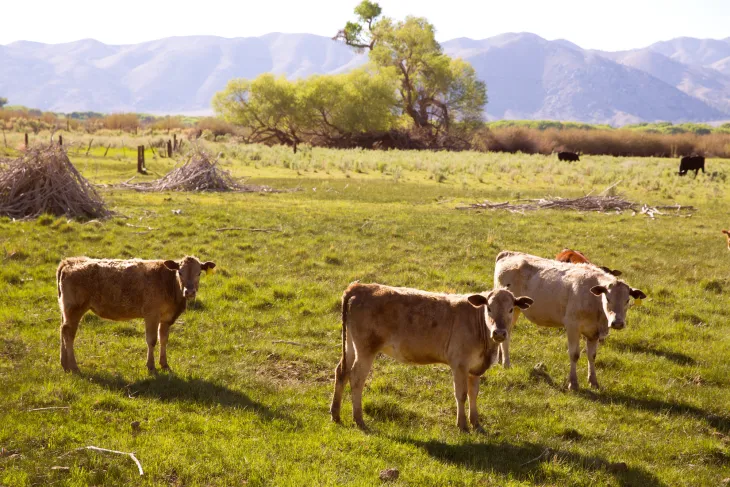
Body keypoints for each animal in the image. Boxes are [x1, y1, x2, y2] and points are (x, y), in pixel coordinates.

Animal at [56, 256, 216, 373]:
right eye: (180, 272)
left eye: (198, 273)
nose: (189, 292)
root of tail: (69, 261)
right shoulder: (151, 315)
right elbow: (152, 340)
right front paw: (151, 366)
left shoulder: (166, 318)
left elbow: (164, 339)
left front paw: (164, 364)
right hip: (75, 308)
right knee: (69, 333)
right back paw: (74, 367)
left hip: (66, 309)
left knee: (62, 330)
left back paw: (64, 364)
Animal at [329, 282, 533, 431]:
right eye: (488, 308)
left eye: (511, 309)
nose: (499, 333)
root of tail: (359, 286)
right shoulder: (459, 364)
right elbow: (461, 394)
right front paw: (462, 425)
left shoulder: (475, 368)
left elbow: (474, 394)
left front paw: (476, 424)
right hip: (366, 349)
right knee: (356, 378)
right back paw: (359, 420)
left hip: (350, 345)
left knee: (341, 372)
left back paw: (336, 414)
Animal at [494, 251, 645, 390]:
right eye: (608, 299)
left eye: (627, 300)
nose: (617, 323)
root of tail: (509, 253)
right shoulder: (572, 326)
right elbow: (574, 354)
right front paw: (573, 383)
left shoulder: (594, 332)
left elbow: (592, 355)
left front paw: (593, 381)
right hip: (511, 310)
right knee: (506, 336)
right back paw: (506, 363)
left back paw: (500, 359)